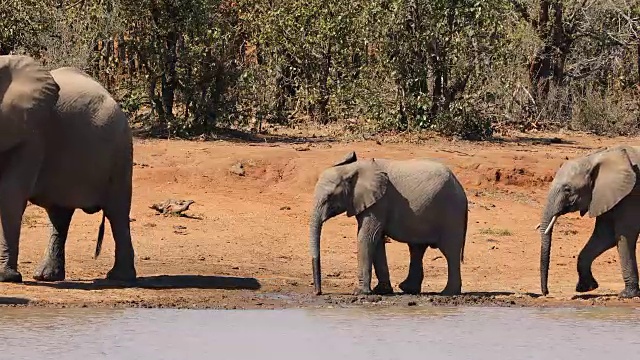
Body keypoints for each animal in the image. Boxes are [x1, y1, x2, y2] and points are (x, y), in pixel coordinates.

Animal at [0, 54, 135, 282]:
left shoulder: (32, 134)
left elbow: (10, 193)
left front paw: (6, 277)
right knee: (59, 215)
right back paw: (46, 276)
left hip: (121, 153)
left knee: (117, 212)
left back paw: (120, 277)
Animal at [308, 151, 468, 296]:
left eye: (328, 198)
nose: (318, 292)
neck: (352, 169)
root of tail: (461, 189)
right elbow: (377, 240)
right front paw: (382, 291)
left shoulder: (379, 202)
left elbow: (367, 237)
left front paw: (359, 292)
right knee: (417, 248)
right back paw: (408, 289)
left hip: (452, 213)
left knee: (450, 252)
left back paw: (447, 293)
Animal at [540, 145, 640, 300]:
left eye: (567, 189)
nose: (546, 293)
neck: (594, 158)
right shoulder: (605, 195)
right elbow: (605, 236)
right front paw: (585, 288)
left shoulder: (631, 195)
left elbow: (625, 235)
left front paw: (626, 295)